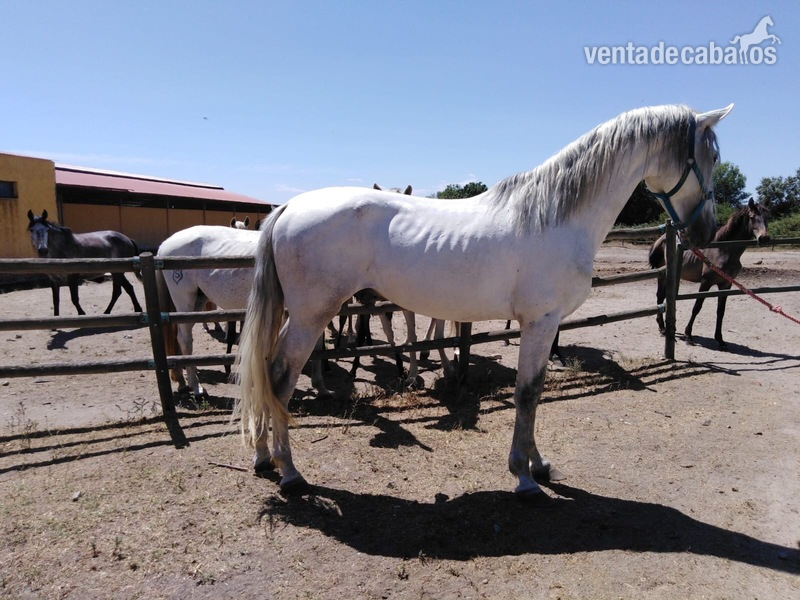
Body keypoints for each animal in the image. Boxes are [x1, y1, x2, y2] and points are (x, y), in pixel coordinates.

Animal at [236, 103, 730, 501]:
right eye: (712, 157)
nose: (706, 230)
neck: (555, 215)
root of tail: (289, 207)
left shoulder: (543, 325)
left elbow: (534, 392)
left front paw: (539, 465)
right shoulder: (540, 322)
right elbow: (527, 393)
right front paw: (524, 477)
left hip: (299, 315)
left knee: (265, 373)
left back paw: (263, 457)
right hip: (310, 316)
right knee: (279, 379)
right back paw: (290, 472)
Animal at [649, 197, 769, 349]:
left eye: (767, 217)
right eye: (752, 217)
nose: (764, 238)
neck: (722, 250)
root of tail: (661, 239)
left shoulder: (726, 285)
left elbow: (720, 311)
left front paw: (720, 339)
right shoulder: (705, 283)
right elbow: (697, 307)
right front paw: (688, 336)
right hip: (663, 276)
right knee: (660, 296)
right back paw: (662, 328)